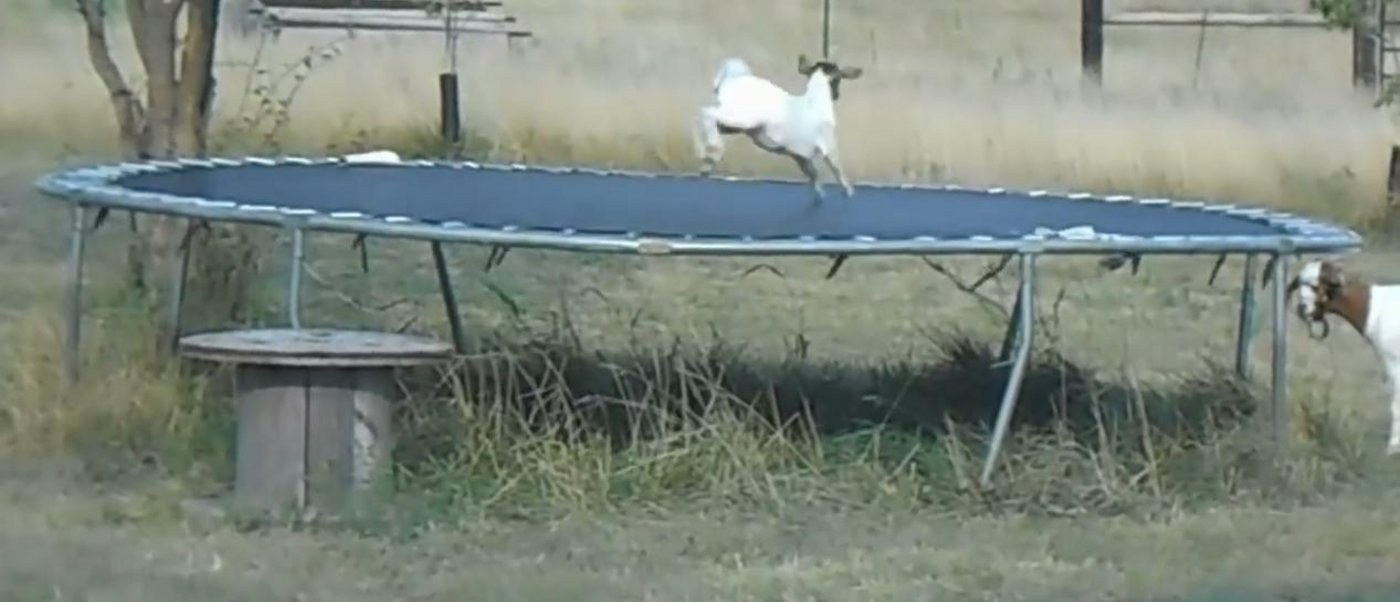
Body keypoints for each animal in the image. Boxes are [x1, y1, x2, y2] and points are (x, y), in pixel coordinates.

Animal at [693, 54, 863, 202]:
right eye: (839, 78)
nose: (837, 95)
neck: (815, 102)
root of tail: (732, 78)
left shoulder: (800, 157)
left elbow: (812, 173)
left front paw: (819, 195)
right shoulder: (828, 146)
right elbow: (837, 168)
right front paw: (848, 190)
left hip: (734, 125)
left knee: (703, 121)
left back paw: (706, 157)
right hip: (742, 118)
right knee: (706, 113)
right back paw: (713, 150)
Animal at [1288, 258, 1400, 455]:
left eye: (1316, 285)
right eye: (1300, 283)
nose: (1302, 309)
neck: (1375, 308)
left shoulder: (1394, 362)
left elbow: (1396, 405)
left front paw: (1393, 447)